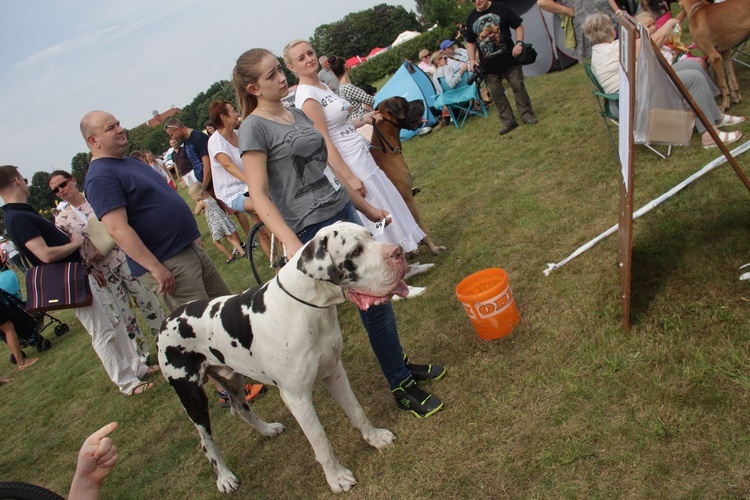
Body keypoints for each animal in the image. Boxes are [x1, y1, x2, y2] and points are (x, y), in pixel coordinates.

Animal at [370, 96, 446, 256]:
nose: (421, 101)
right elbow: (421, 227)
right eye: (404, 102)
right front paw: (433, 248)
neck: (388, 151)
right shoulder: (407, 200)